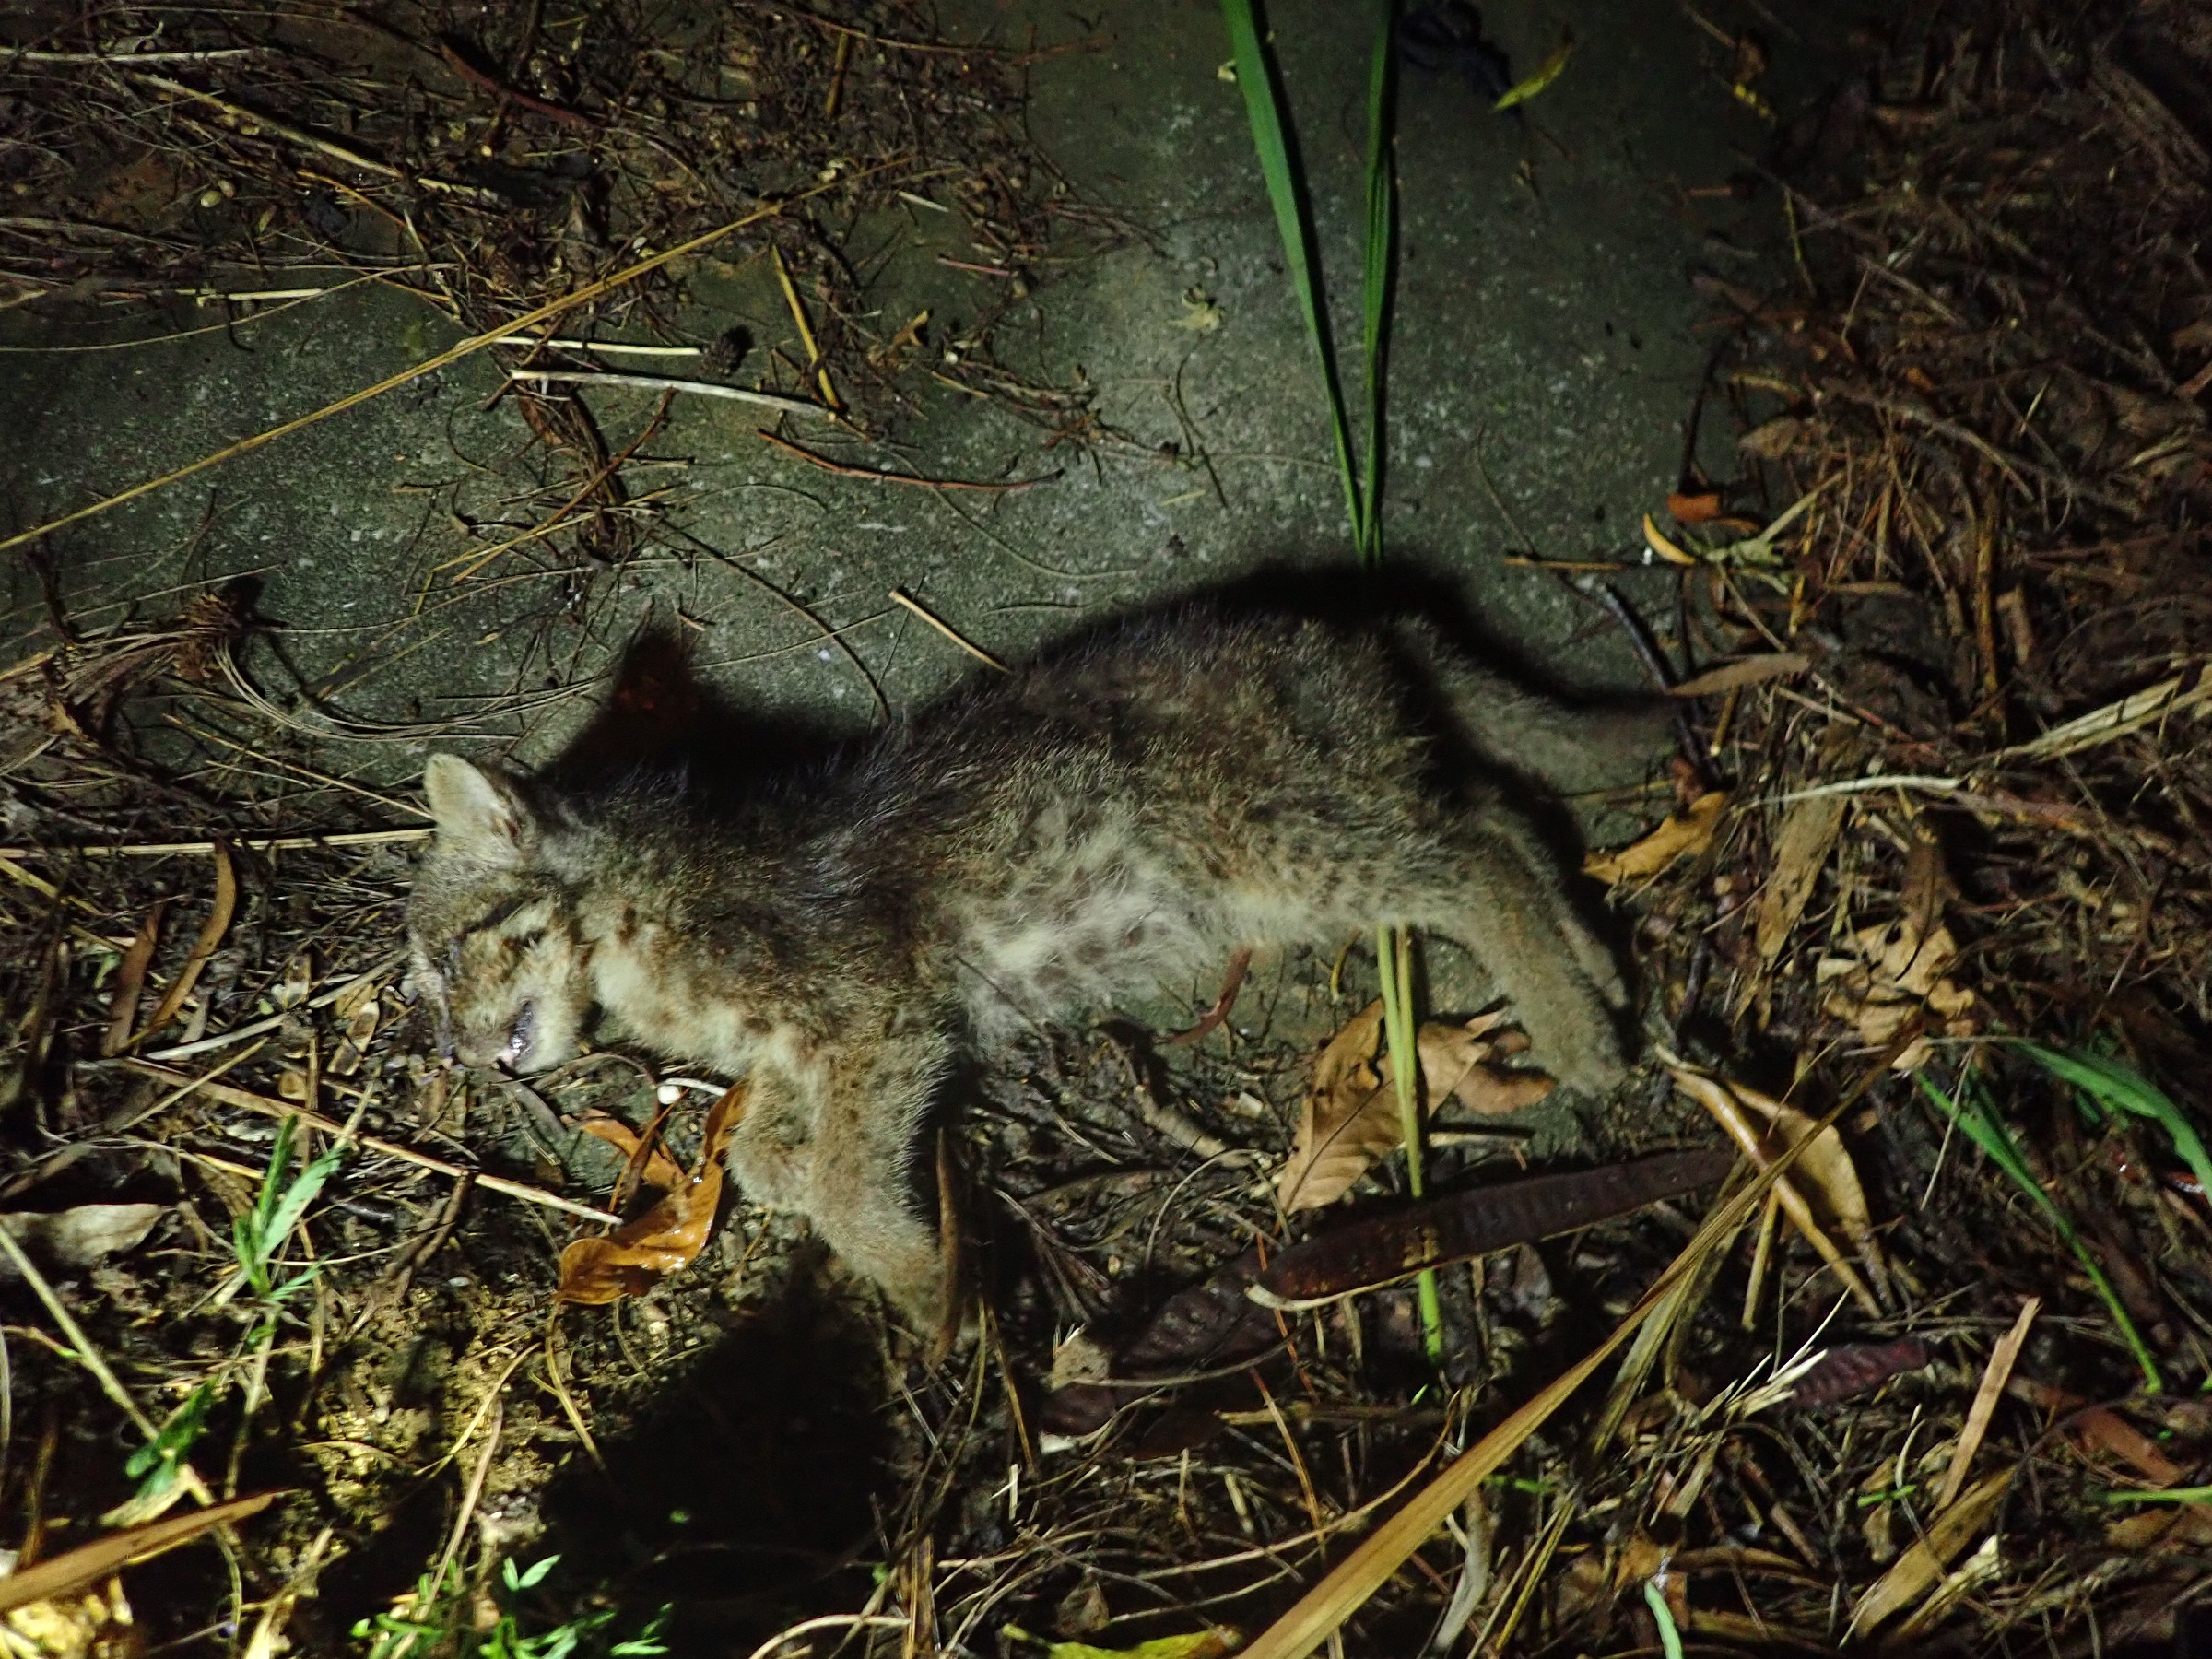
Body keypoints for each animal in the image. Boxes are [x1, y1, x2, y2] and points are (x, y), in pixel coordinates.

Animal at [411, 610, 1663, 1335]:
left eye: (447, 954)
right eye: (423, 987)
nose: (454, 1055)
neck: (640, 916)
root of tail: (1346, 618)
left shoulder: (879, 1017)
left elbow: (850, 1189)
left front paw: (932, 1296)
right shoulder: (837, 1050)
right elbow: (768, 1154)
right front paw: (821, 1191)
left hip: (1271, 853)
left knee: (1471, 864)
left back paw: (1583, 1041)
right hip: (1344, 812)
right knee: (1499, 809)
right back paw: (1603, 974)